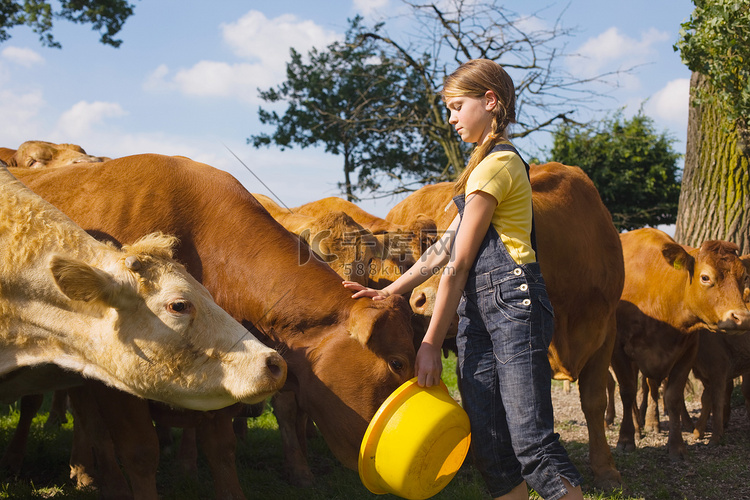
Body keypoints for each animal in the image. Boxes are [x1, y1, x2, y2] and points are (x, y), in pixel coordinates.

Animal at [612, 228, 750, 460]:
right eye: (705, 277)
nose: (742, 318)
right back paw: (639, 429)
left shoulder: (686, 352)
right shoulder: (617, 350)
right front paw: (626, 439)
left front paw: (677, 446)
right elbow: (628, 391)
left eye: (744, 277)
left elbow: (673, 396)